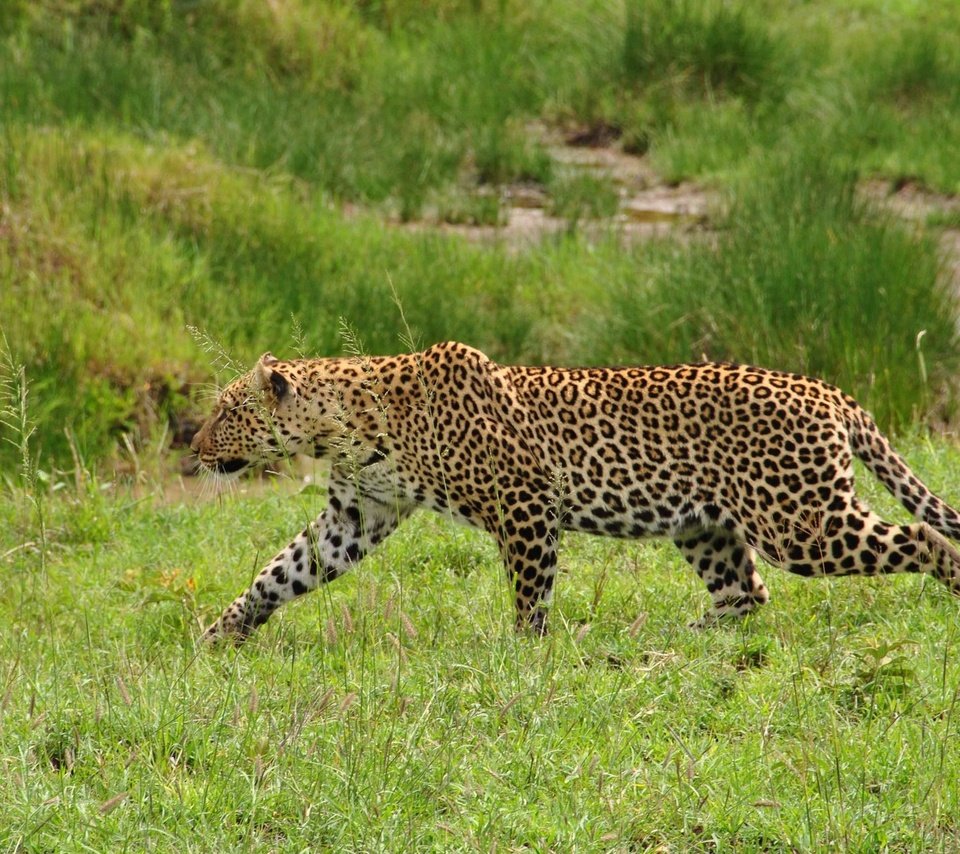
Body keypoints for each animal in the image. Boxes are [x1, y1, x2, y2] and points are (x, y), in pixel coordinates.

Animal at [193, 340, 960, 640]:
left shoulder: (524, 503)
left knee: (923, 536)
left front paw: (524, 654)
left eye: (227, 412)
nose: (193, 448)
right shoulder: (357, 514)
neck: (344, 426)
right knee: (745, 594)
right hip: (704, 526)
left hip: (801, 522)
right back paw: (681, 641)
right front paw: (219, 636)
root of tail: (830, 391)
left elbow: (530, 593)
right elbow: (281, 572)